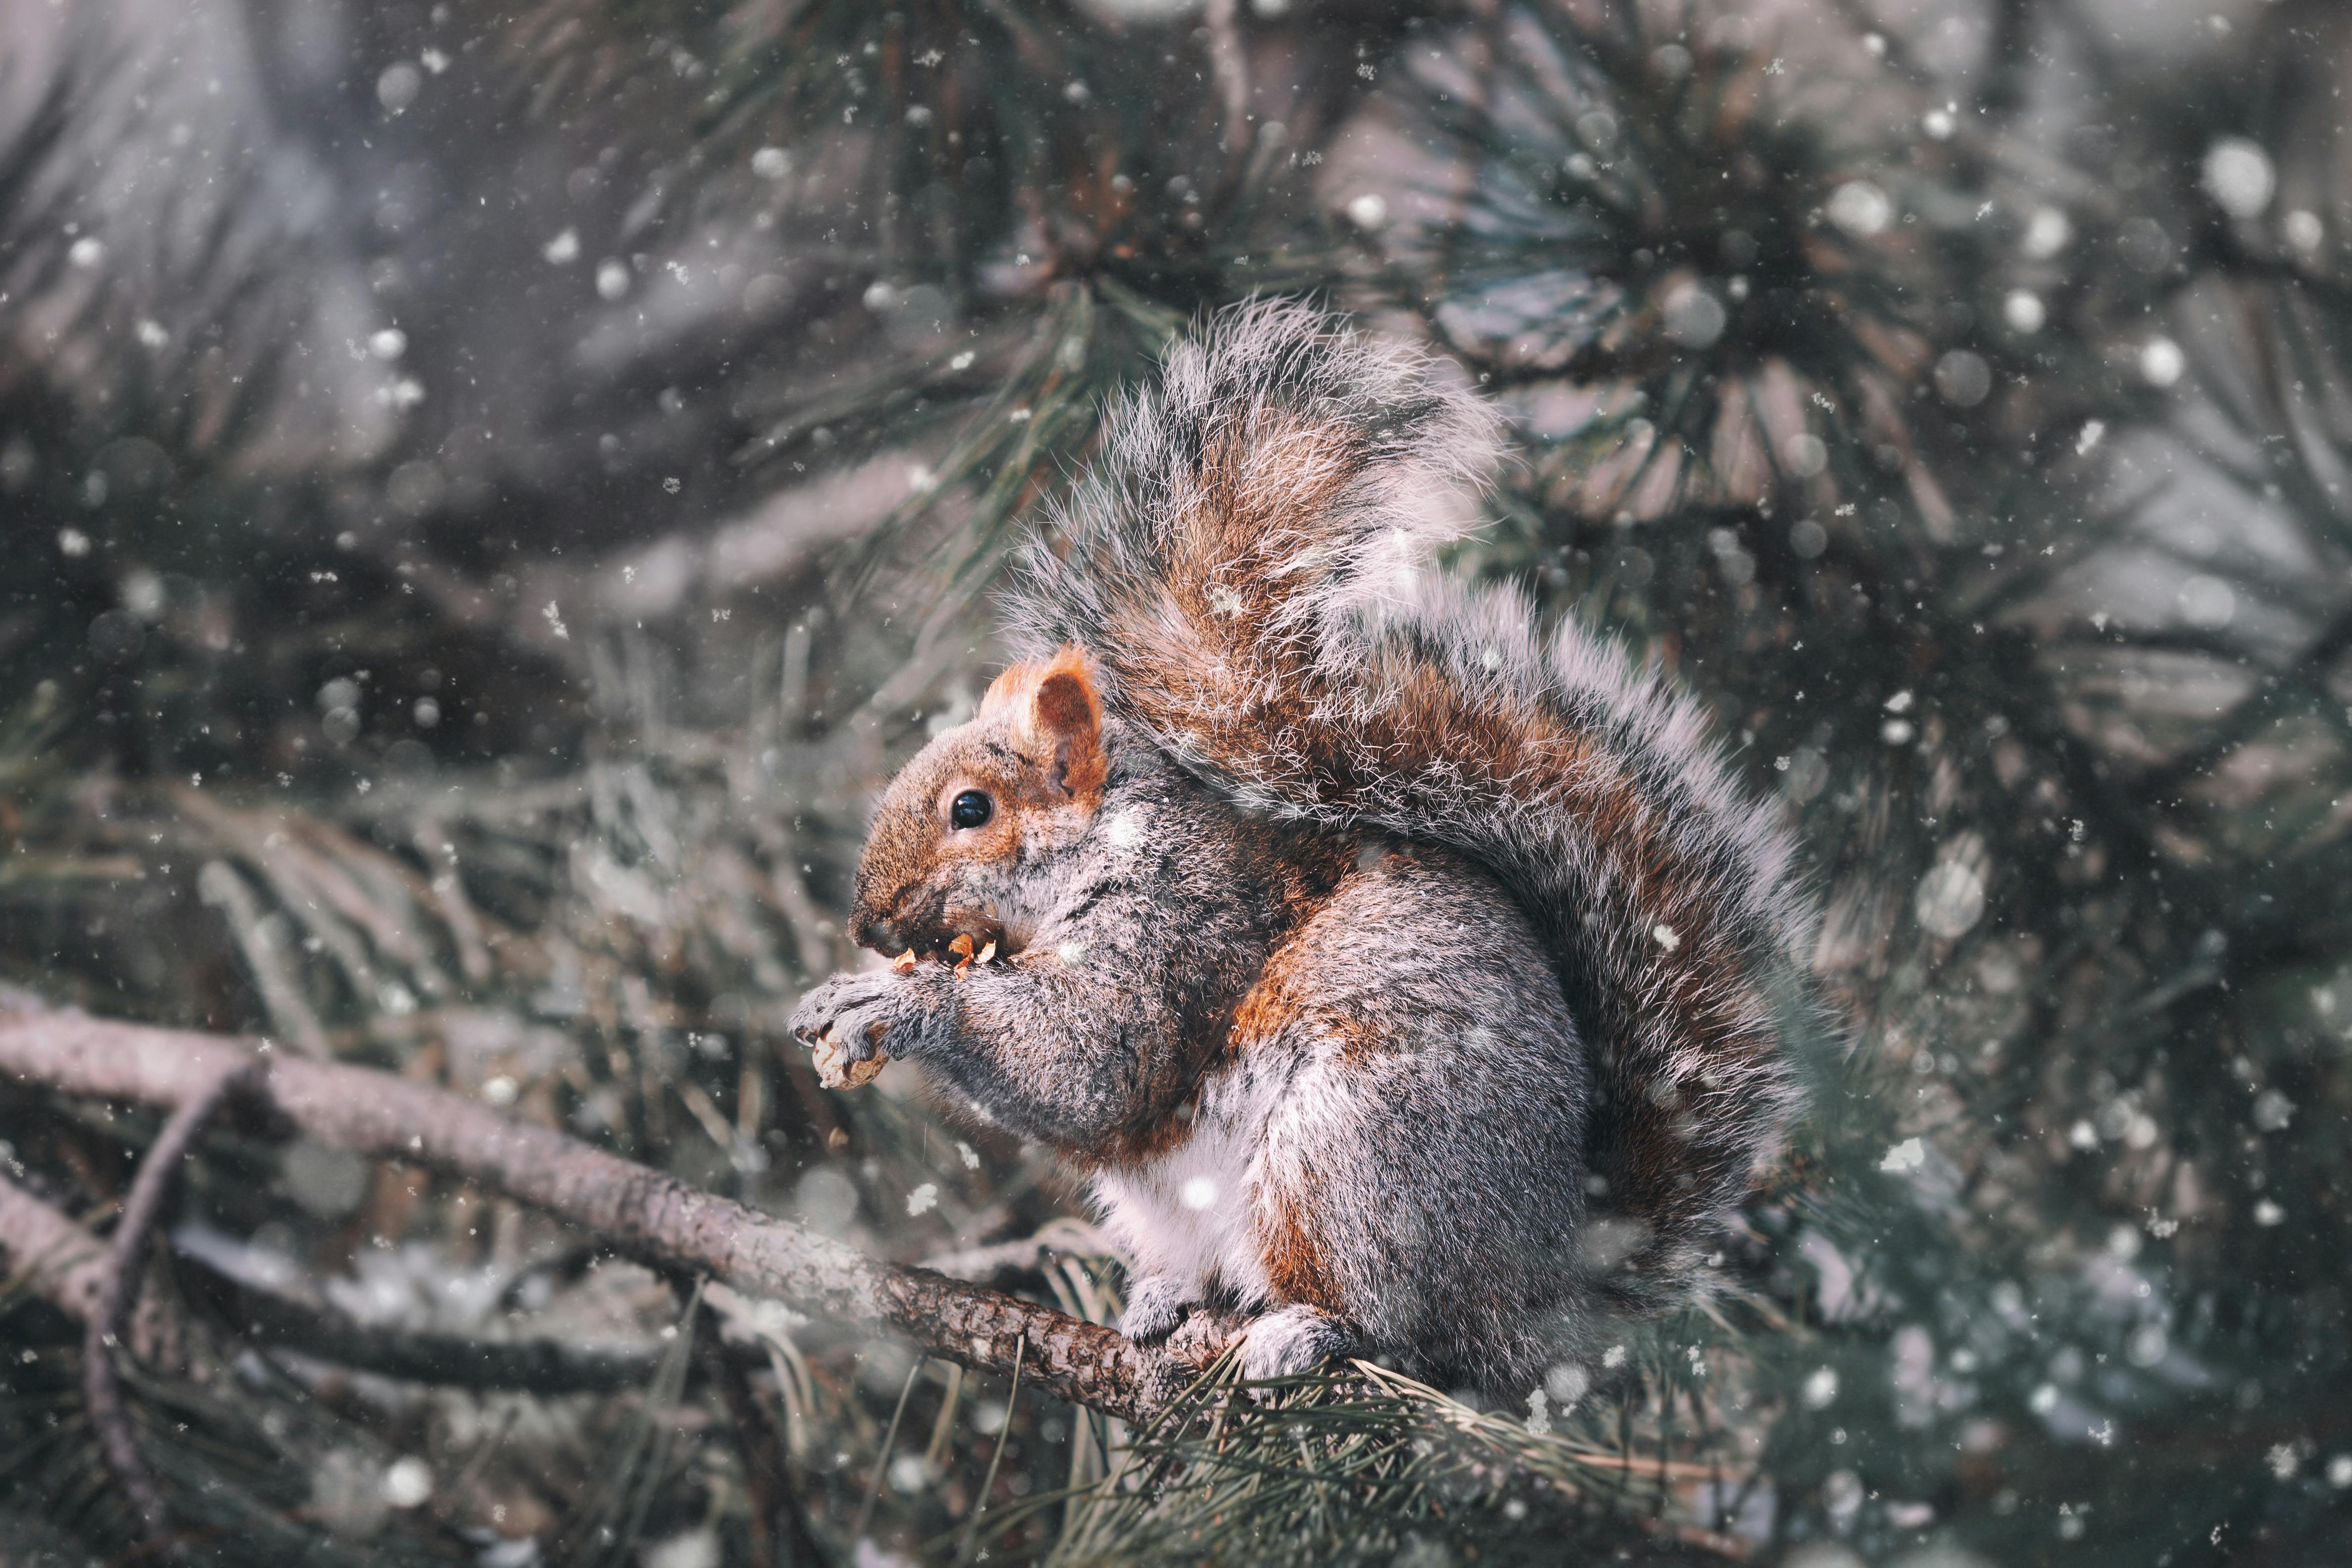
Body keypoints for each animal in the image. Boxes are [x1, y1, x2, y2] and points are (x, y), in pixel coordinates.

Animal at [790, 297, 1815, 1401]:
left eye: (971, 809)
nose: (867, 921)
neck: (1106, 847)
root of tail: (1548, 1297)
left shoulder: (1178, 922)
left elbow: (1093, 1061)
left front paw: (897, 1002)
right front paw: (837, 992)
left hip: (1349, 1158)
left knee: (1407, 1329)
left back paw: (1305, 1331)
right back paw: (1165, 1298)